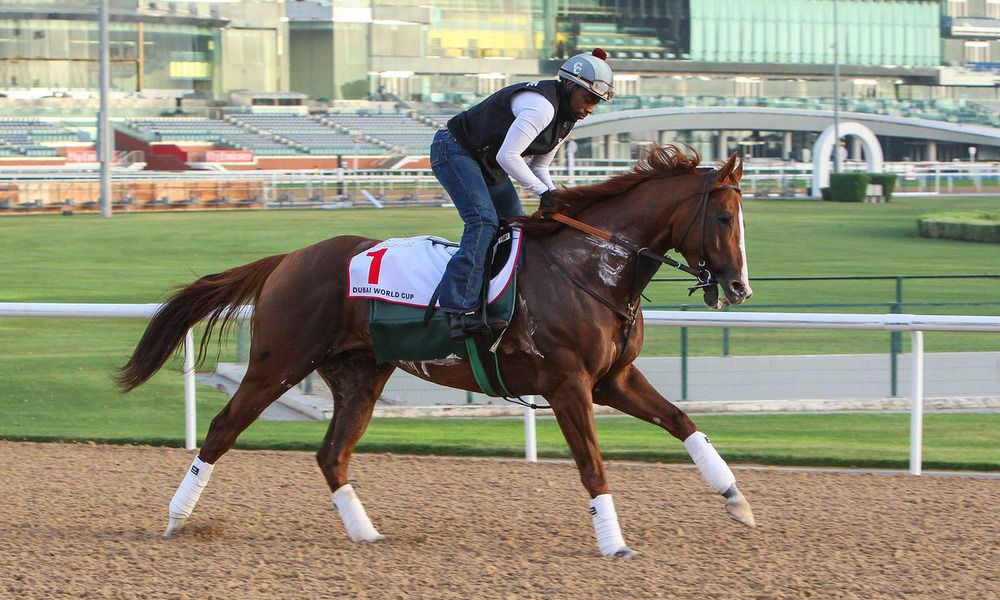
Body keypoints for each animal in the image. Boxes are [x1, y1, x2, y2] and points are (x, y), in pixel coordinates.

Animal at [117, 145, 752, 556]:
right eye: (724, 217)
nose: (740, 287)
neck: (590, 269)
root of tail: (290, 258)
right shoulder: (568, 384)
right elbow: (592, 464)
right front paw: (615, 544)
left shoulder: (612, 378)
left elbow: (683, 421)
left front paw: (735, 498)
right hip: (279, 363)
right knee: (222, 430)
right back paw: (176, 519)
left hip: (361, 374)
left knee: (332, 454)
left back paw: (365, 534)